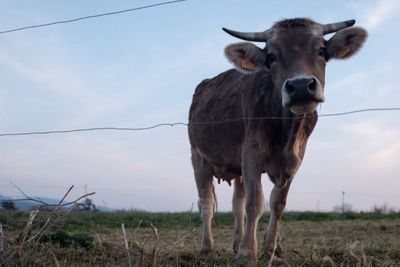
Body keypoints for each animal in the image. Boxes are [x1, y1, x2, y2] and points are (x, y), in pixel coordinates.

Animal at [189, 17, 368, 264]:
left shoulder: (295, 159)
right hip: (199, 157)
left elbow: (277, 202)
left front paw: (270, 248)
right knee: (206, 202)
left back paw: (237, 242)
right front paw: (247, 253)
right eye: (271, 56)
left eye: (321, 51)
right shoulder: (252, 153)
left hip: (236, 168)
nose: (301, 86)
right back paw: (208, 247)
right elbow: (256, 202)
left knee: (237, 203)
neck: (286, 131)